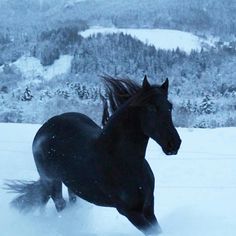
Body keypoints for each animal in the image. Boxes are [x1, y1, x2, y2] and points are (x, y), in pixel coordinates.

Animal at [6, 76, 181, 235]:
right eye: (151, 108)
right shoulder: (129, 212)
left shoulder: (148, 206)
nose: (174, 144)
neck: (123, 161)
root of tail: (44, 128)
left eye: (170, 106)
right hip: (52, 180)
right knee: (60, 205)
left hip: (72, 184)